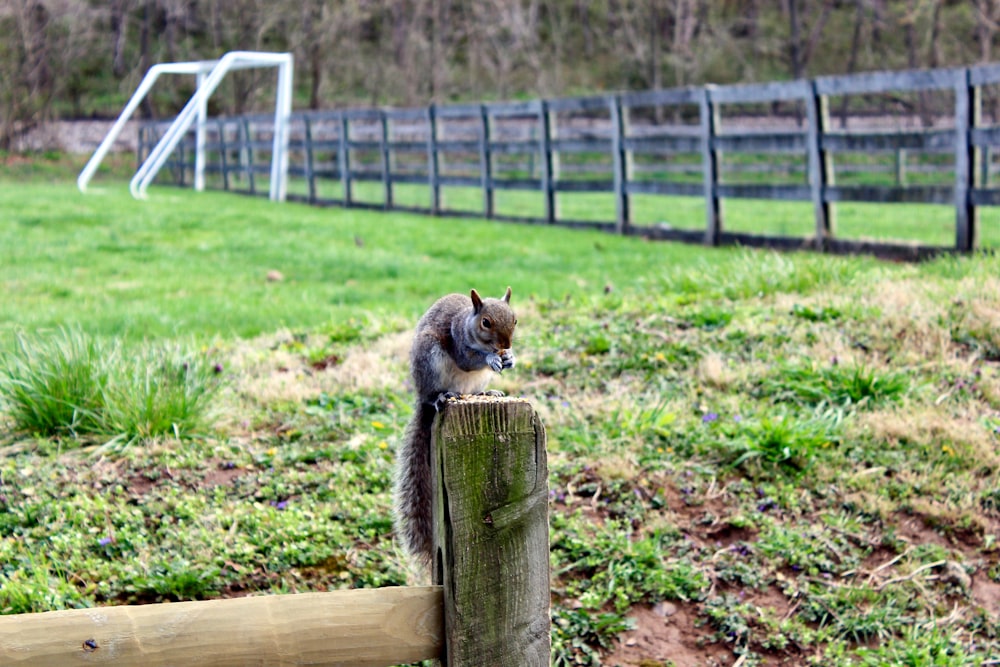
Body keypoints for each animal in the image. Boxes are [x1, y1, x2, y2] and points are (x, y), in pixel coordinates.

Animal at [392, 288, 520, 564]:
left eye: (515, 319)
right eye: (486, 322)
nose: (506, 346)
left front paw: (510, 359)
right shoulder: (459, 344)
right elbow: (469, 360)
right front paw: (491, 357)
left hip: (475, 381)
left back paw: (487, 393)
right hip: (430, 360)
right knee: (434, 395)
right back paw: (442, 397)